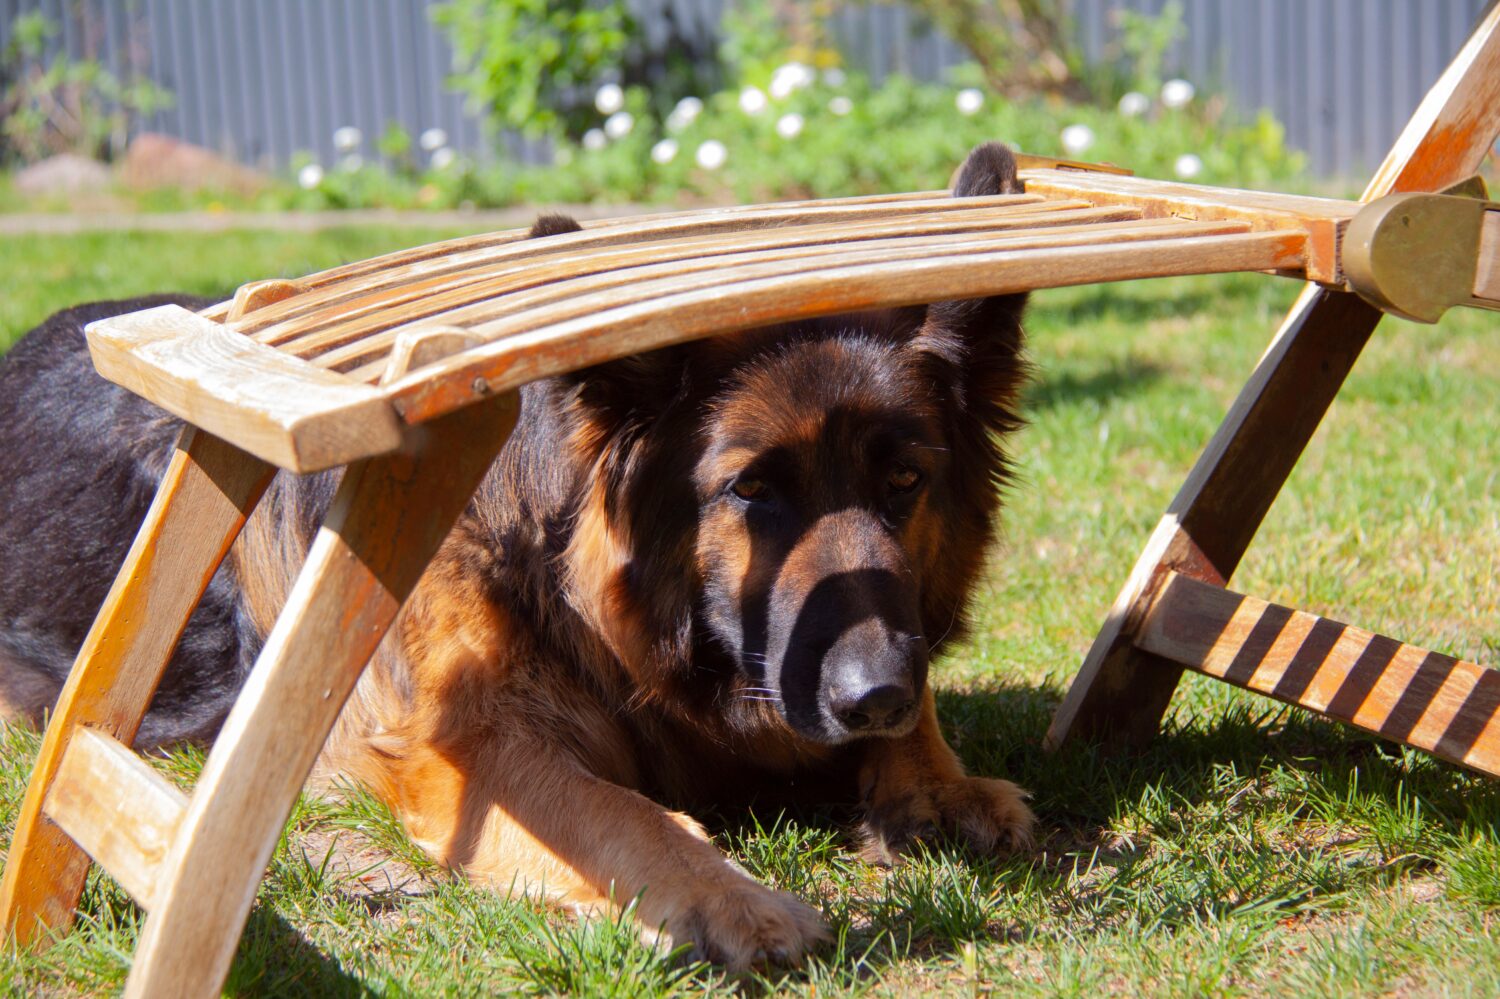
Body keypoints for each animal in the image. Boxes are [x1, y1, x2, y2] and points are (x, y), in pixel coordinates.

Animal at [0, 141, 1032, 966]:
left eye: (904, 481)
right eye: (751, 491)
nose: (874, 695)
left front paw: (938, 780)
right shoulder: (469, 744)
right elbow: (620, 813)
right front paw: (727, 896)